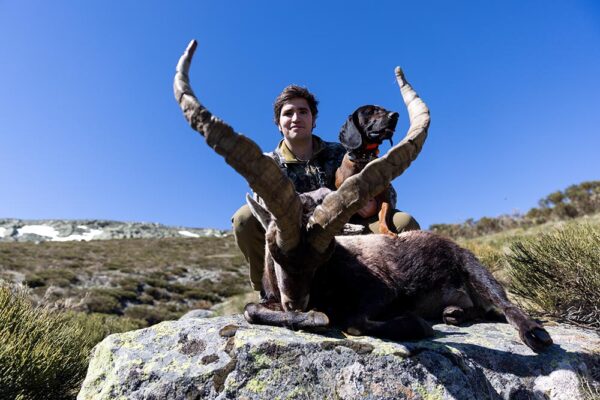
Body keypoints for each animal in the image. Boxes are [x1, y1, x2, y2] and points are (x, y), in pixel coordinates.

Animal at [336, 104, 400, 236]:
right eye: (369, 112)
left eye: (384, 109)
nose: (395, 115)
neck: (364, 157)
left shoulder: (384, 197)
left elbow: (383, 216)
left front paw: (387, 232)